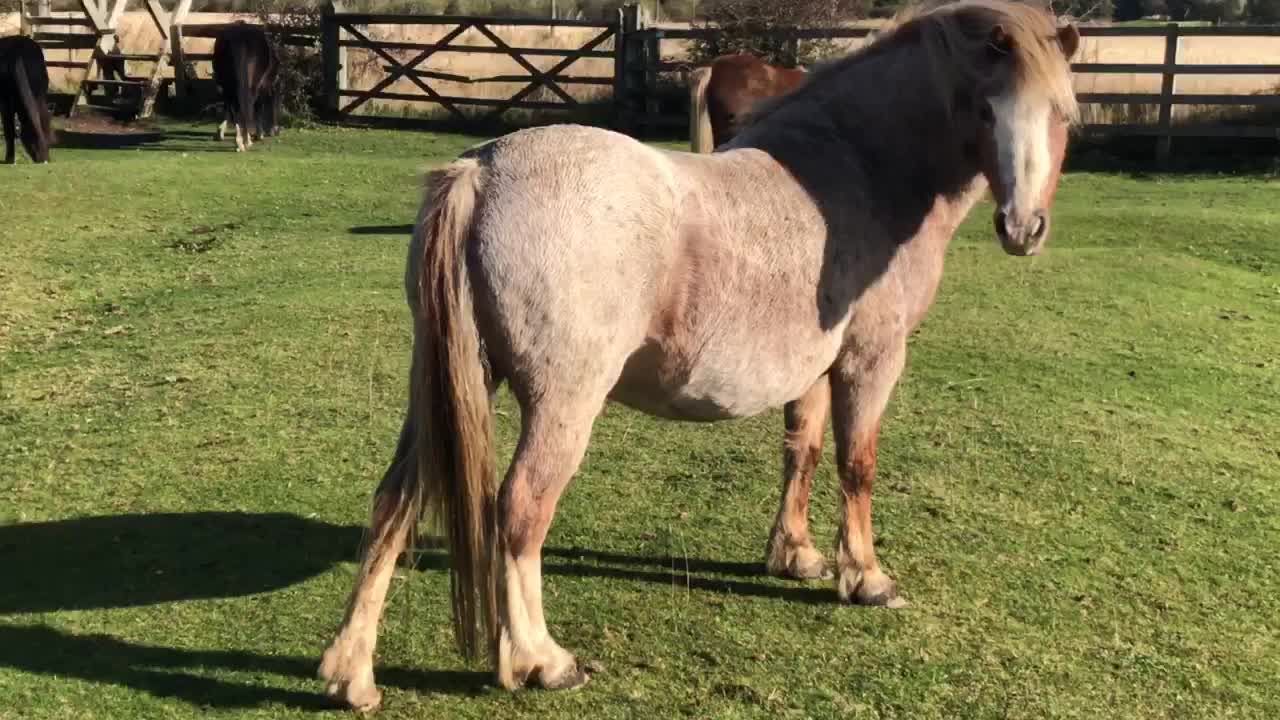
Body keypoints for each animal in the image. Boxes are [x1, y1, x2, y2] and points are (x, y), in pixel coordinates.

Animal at [212, 22, 280, 151]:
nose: (276, 131)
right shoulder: (262, 87)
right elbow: (258, 108)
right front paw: (259, 134)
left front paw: (220, 132)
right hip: (251, 86)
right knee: (247, 105)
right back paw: (246, 141)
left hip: (228, 84)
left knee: (233, 106)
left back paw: (239, 141)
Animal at [317, 0, 1080, 707]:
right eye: (984, 107)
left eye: (1062, 114)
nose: (1024, 228)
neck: (859, 170)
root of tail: (482, 171)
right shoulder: (872, 358)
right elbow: (856, 465)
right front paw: (866, 578)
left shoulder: (812, 367)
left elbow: (801, 448)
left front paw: (795, 555)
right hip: (564, 402)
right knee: (521, 510)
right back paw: (541, 661)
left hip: (451, 387)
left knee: (395, 501)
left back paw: (352, 674)